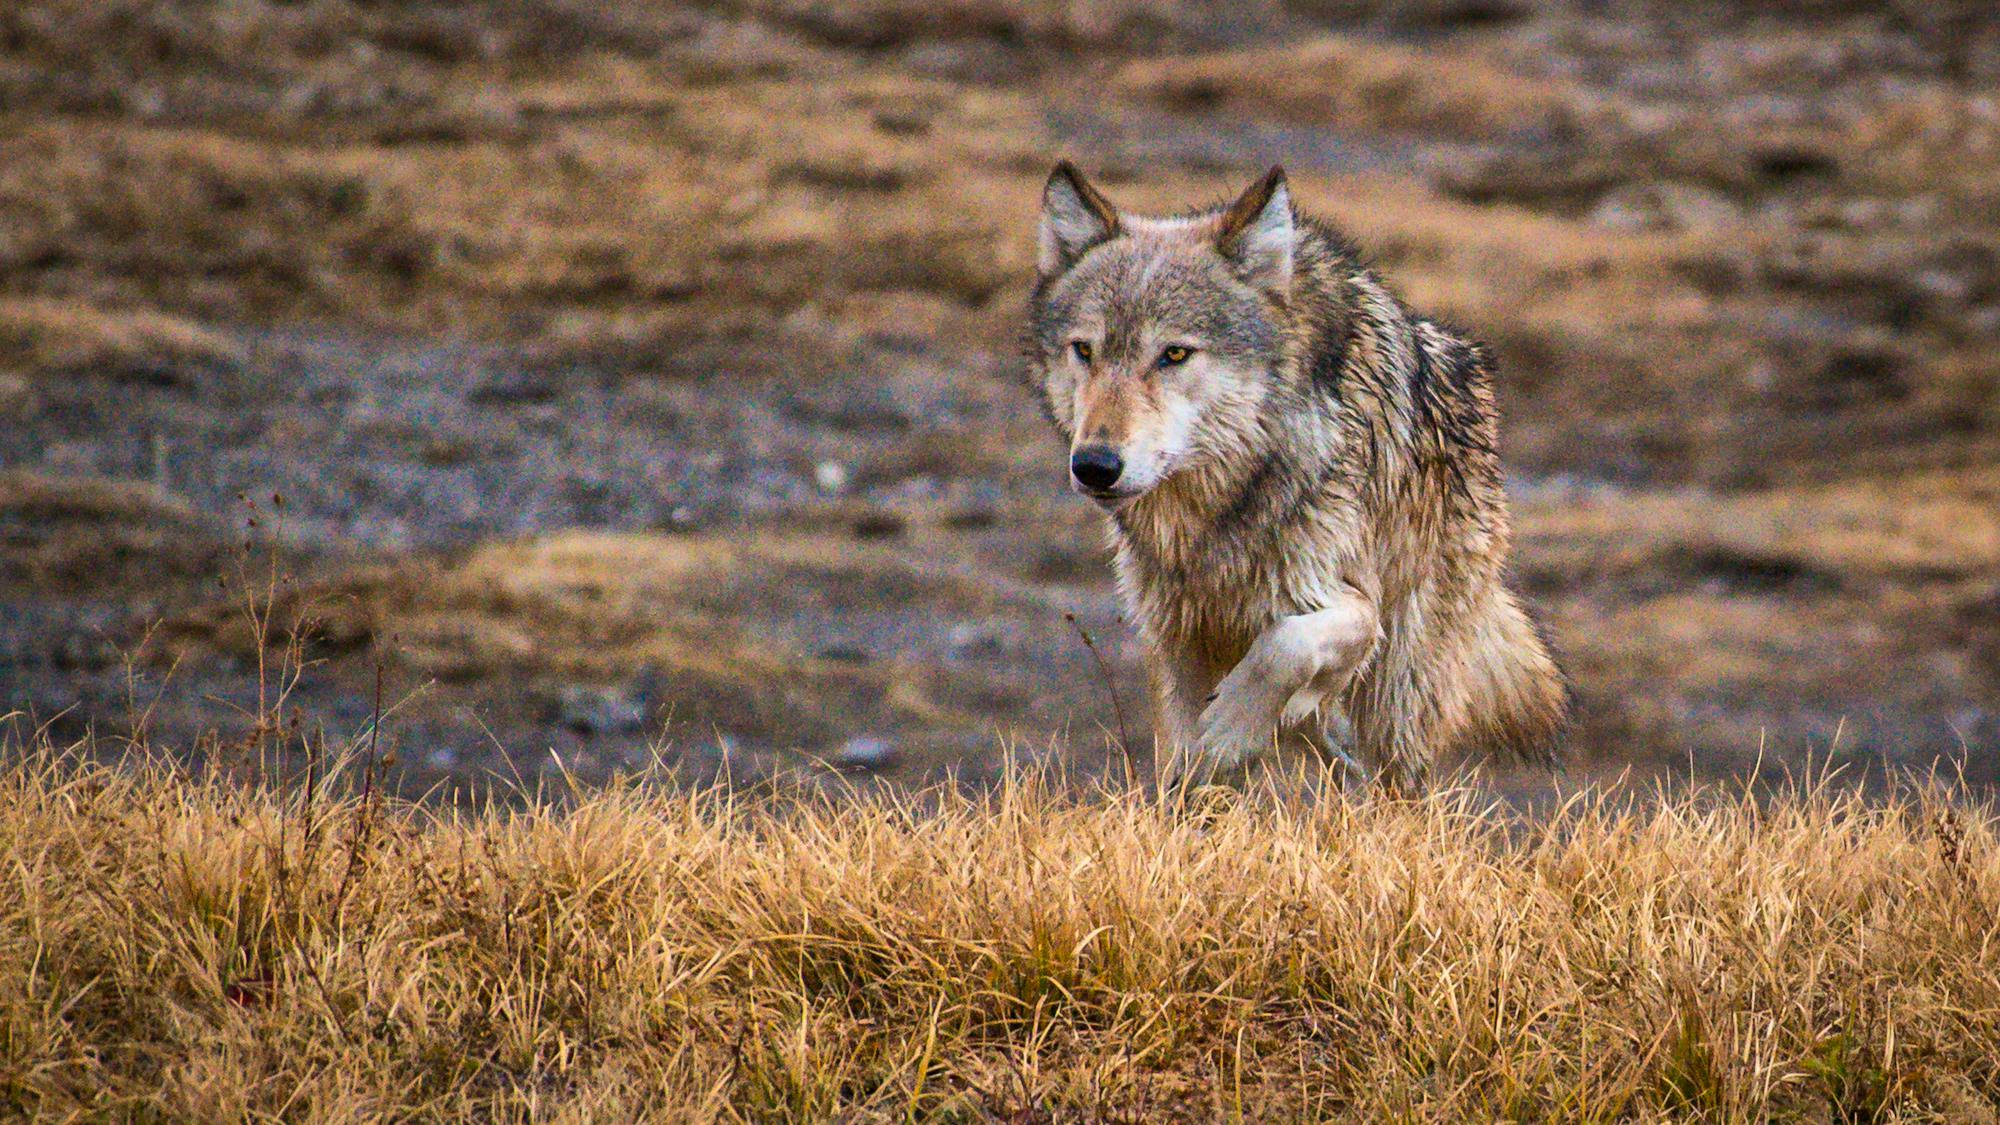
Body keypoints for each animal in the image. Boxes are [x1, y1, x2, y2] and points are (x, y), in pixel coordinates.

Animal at [1032, 162, 1560, 784]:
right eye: (1084, 351)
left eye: (1175, 354)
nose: (1095, 466)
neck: (1219, 506)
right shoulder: (1174, 630)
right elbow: (1183, 765)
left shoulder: (1350, 602)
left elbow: (1286, 645)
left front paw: (1230, 728)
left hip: (1400, 690)